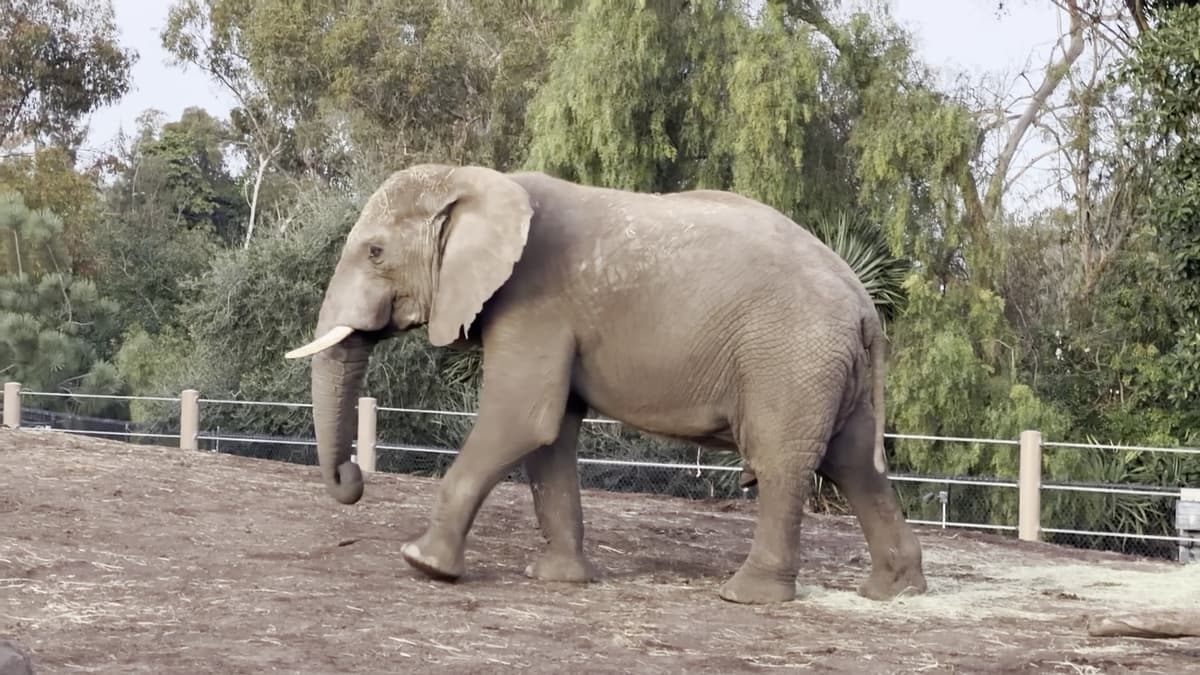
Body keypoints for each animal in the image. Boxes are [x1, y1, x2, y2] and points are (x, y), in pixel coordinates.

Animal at [284, 163, 928, 604]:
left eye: (375, 252)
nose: (352, 479)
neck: (478, 180)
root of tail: (865, 304)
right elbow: (548, 438)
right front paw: (558, 580)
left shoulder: (535, 303)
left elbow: (521, 420)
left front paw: (422, 564)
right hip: (828, 364)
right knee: (855, 464)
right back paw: (893, 592)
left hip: (790, 356)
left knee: (784, 461)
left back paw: (745, 596)